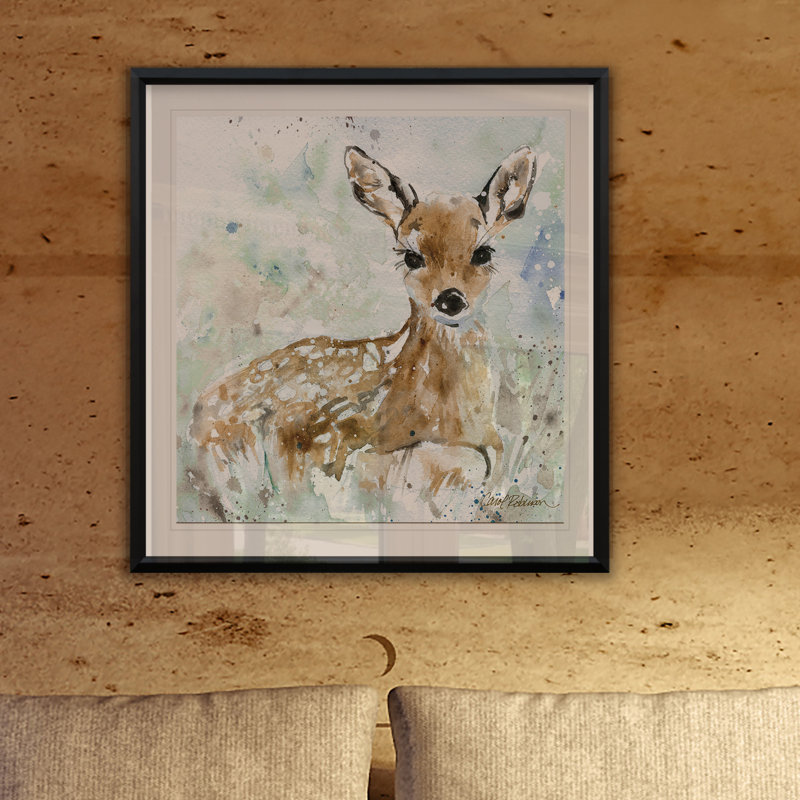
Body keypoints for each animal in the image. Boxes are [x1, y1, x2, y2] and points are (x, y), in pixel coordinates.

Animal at [187, 144, 538, 522]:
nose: (450, 299)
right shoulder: (335, 445)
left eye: (483, 252)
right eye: (412, 257)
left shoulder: (492, 449)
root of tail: (199, 407)